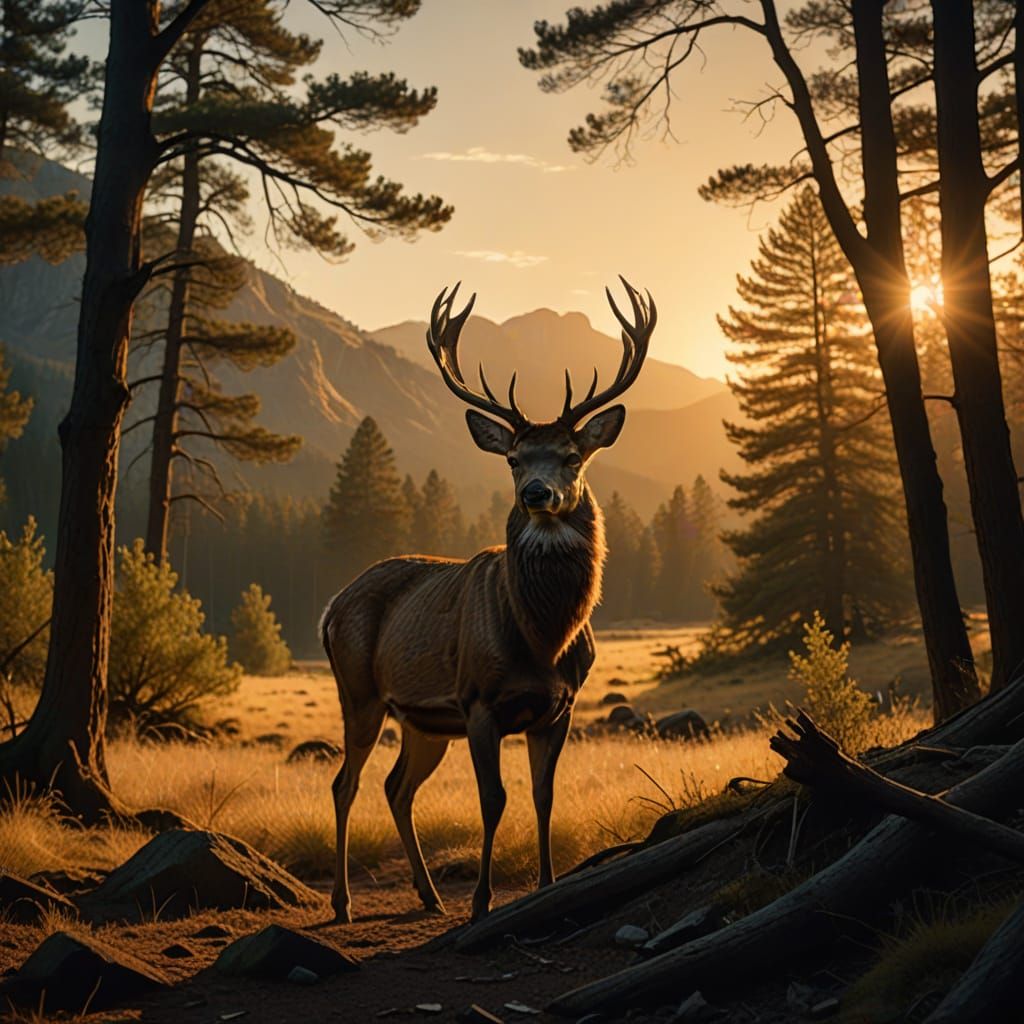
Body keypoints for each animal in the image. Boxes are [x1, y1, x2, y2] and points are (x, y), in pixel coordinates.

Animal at [320, 278, 656, 923]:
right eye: (513, 459)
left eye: (572, 456)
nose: (536, 493)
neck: (542, 637)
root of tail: (330, 606)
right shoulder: (478, 701)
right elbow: (493, 800)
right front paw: (481, 901)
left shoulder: (560, 707)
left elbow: (544, 795)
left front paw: (548, 885)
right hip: (360, 691)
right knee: (345, 782)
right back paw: (344, 902)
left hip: (423, 721)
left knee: (396, 786)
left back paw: (428, 895)